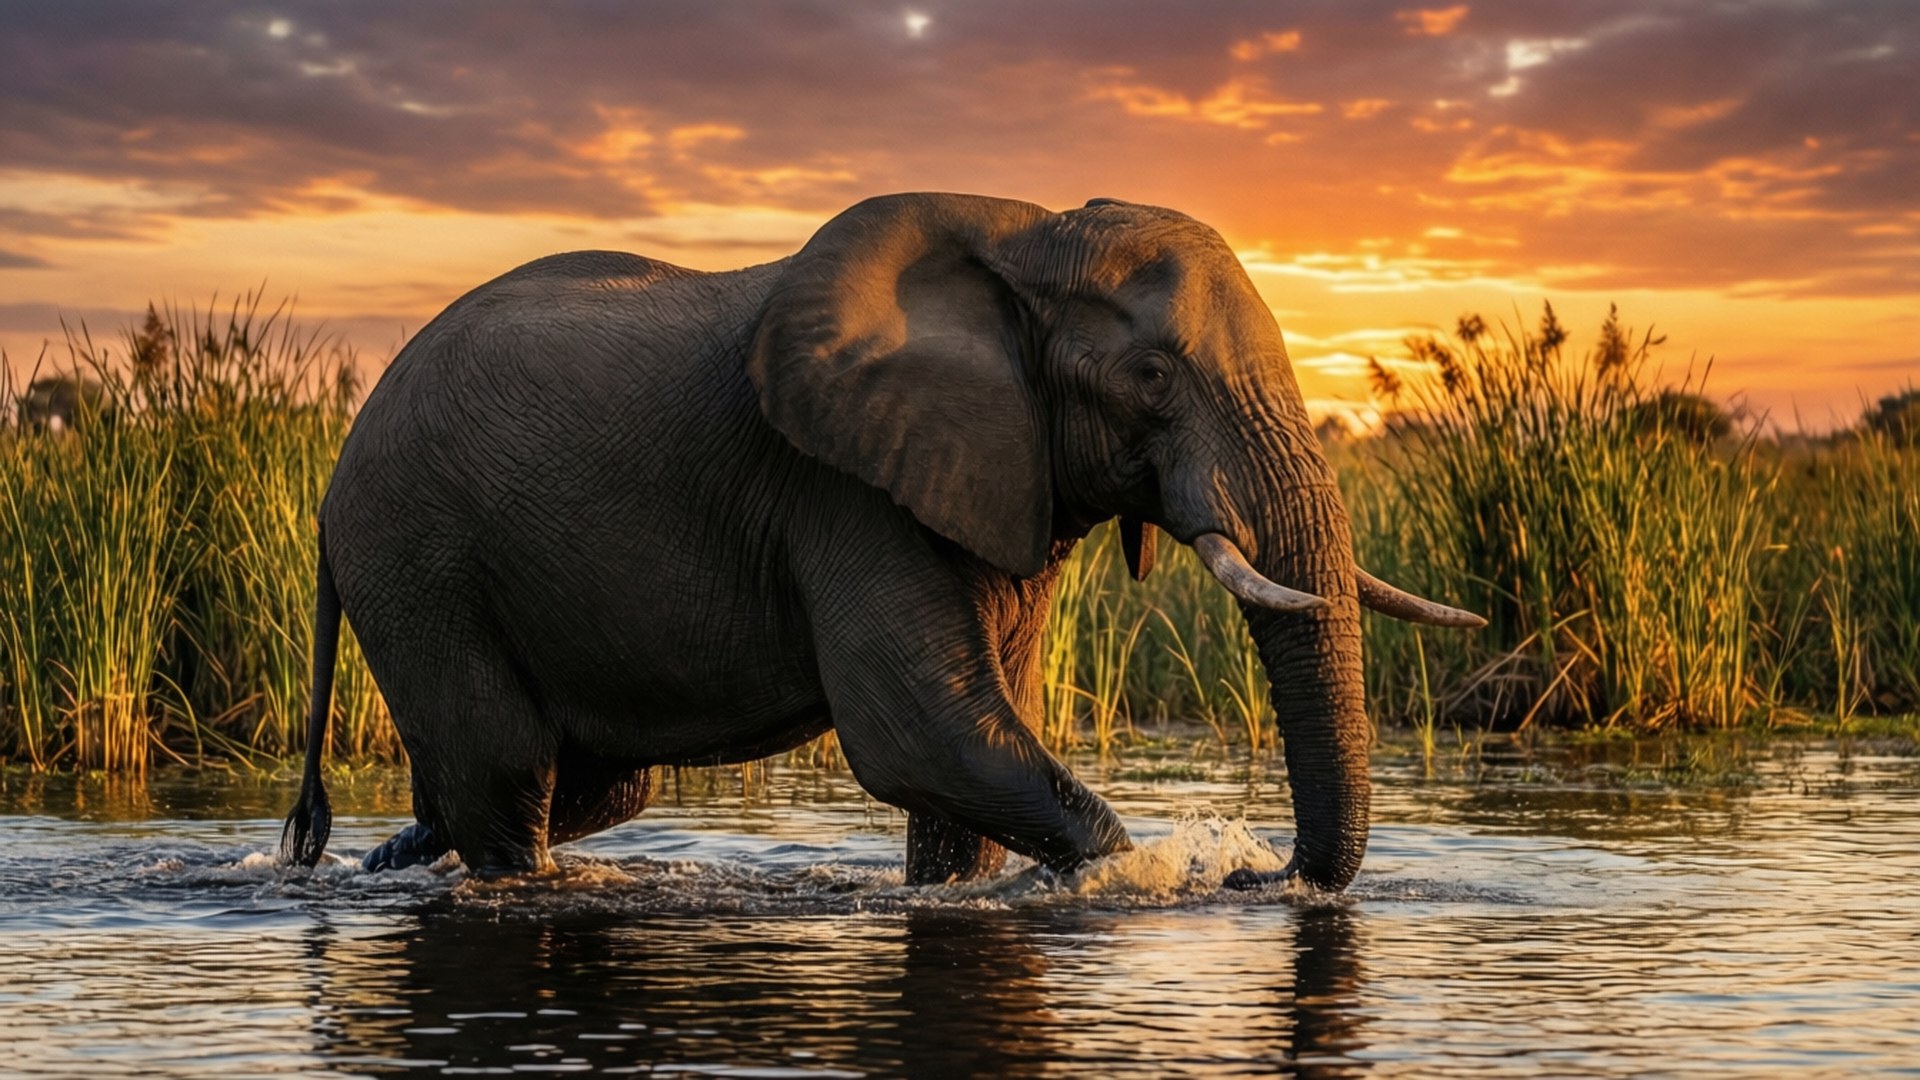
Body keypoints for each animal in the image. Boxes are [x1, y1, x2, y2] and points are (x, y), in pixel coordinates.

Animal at [276, 192, 1481, 892]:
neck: (1022, 232)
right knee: (508, 771)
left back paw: (389, 855)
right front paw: (1138, 885)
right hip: (415, 556)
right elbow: (921, 730)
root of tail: (334, 481)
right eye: (1151, 375)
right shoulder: (840, 489)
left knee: (593, 786)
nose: (1258, 878)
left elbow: (976, 745)